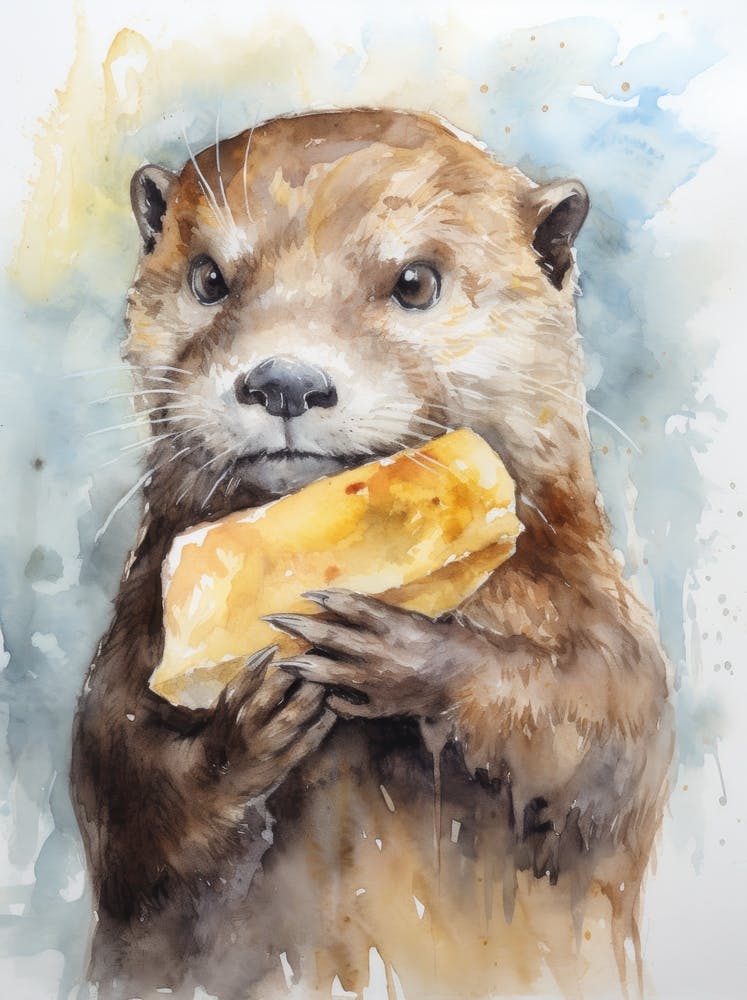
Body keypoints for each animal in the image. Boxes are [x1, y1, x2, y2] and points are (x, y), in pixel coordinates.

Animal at [71, 109, 673, 1000]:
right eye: (210, 278)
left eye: (415, 283)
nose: (285, 380)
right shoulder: (125, 657)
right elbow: (124, 807)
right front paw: (249, 725)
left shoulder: (607, 626)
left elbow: (600, 729)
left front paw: (397, 652)